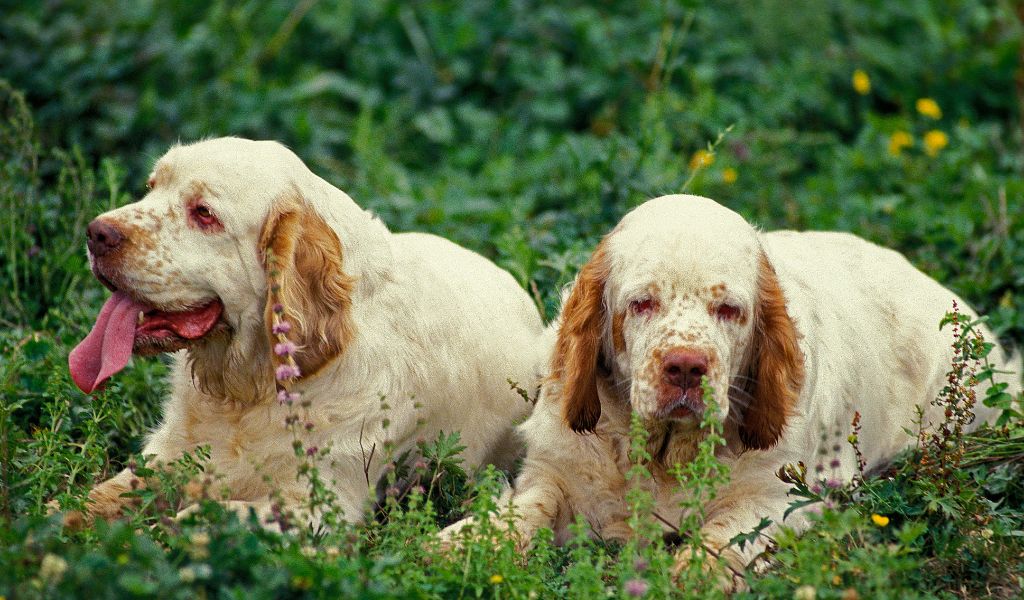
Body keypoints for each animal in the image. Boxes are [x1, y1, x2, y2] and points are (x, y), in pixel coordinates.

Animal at [62, 138, 544, 524]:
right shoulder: (163, 457)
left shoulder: (320, 504)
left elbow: (200, 516)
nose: (96, 233)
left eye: (204, 214)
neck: (248, 391)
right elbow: (89, 501)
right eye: (151, 187)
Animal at [444, 194, 1019, 577]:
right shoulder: (556, 473)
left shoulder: (781, 497)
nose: (685, 366)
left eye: (728, 310)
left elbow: (724, 536)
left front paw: (689, 576)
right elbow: (524, 511)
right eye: (641, 302)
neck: (666, 455)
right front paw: (455, 545)